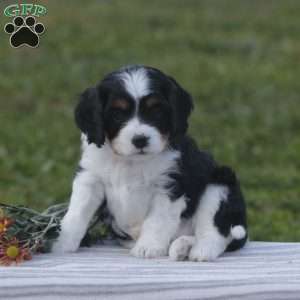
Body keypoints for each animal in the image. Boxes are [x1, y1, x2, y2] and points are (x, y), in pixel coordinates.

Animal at [52, 65, 248, 260]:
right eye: (117, 114)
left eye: (156, 111)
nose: (140, 140)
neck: (130, 161)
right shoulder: (90, 178)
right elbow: (77, 212)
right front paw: (60, 243)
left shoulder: (168, 185)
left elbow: (157, 220)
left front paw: (148, 247)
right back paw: (182, 247)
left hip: (220, 185)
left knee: (217, 232)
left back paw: (200, 251)